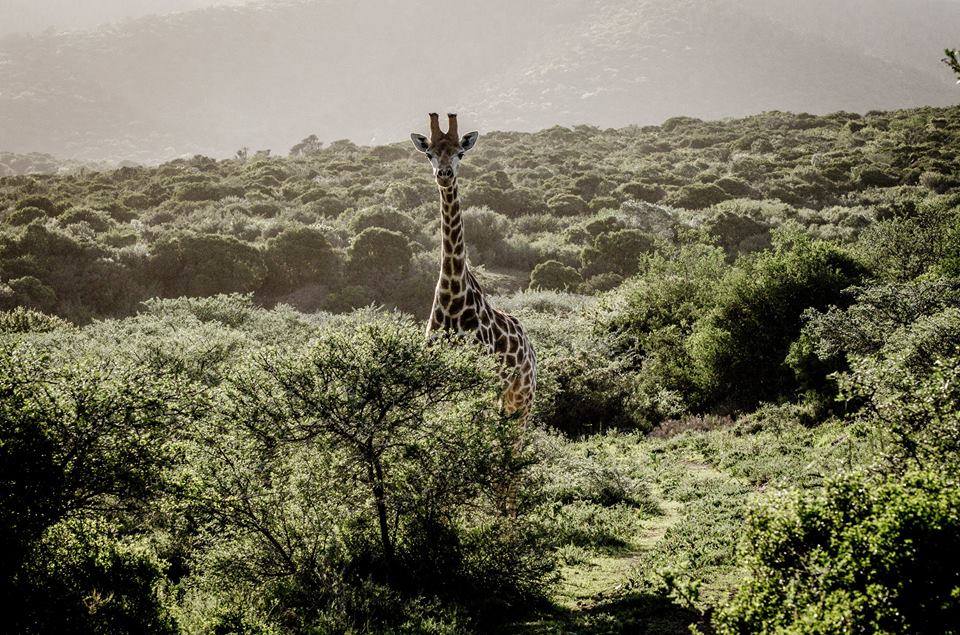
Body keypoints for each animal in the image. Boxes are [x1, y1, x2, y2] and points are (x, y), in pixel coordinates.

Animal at [408, 112, 536, 424]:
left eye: (460, 153)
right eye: (429, 153)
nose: (444, 174)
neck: (452, 296)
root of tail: (530, 348)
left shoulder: (480, 384)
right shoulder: (431, 387)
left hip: (521, 399)